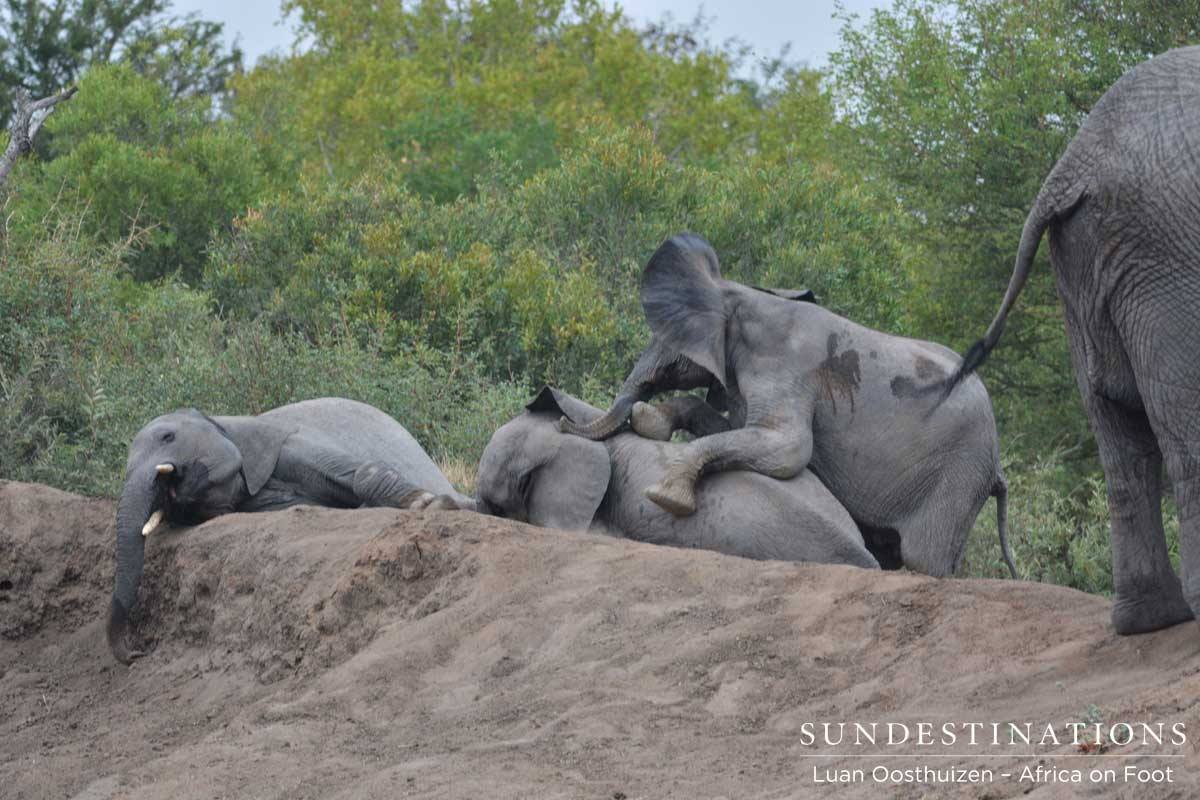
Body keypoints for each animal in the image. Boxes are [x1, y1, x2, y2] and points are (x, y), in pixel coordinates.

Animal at [108, 397, 474, 664]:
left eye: (167, 437)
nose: (137, 651)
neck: (222, 423)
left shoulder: (288, 442)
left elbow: (362, 473)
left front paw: (427, 505)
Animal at [561, 233, 1016, 579]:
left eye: (666, 337)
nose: (563, 423)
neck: (741, 294)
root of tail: (997, 464)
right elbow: (736, 429)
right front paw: (650, 421)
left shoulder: (785, 367)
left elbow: (788, 450)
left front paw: (665, 495)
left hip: (959, 473)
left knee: (925, 559)